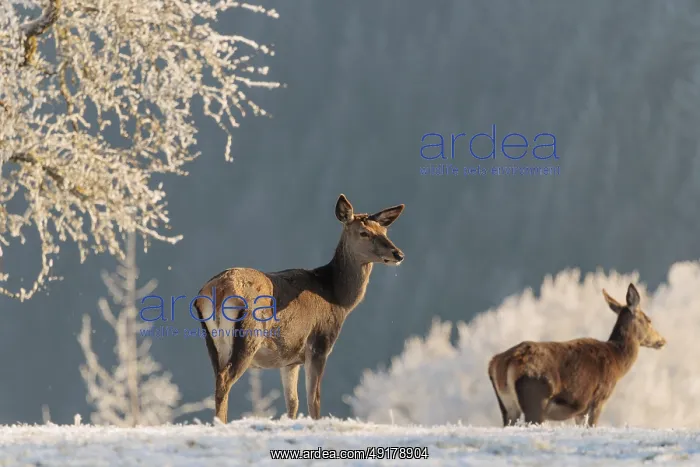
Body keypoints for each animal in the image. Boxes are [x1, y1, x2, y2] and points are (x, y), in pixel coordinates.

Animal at [193, 194, 405, 423]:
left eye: (384, 231)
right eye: (364, 232)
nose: (398, 254)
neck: (337, 298)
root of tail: (218, 290)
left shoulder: (290, 359)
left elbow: (293, 402)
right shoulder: (319, 343)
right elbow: (314, 398)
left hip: (212, 342)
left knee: (218, 379)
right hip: (249, 333)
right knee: (225, 379)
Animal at [487, 282, 666, 427]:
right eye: (648, 320)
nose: (662, 340)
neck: (617, 363)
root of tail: (500, 362)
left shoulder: (581, 410)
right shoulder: (598, 399)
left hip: (507, 406)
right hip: (535, 396)